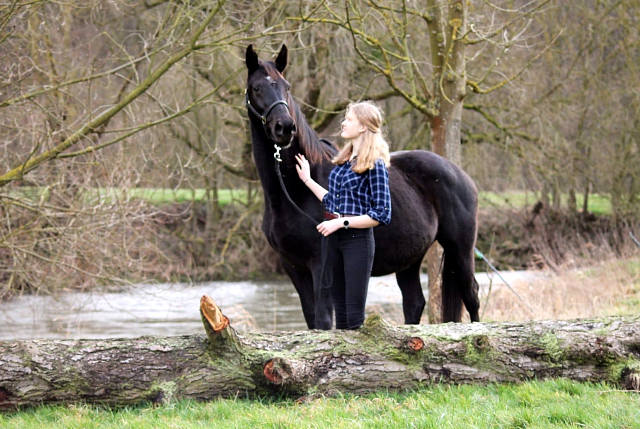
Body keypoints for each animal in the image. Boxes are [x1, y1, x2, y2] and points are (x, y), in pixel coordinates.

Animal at [245, 45, 480, 330]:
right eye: (256, 87)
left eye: (286, 87)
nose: (285, 127)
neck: (292, 194)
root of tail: (461, 175)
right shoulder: (293, 266)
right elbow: (312, 320)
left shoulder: (321, 264)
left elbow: (324, 321)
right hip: (410, 258)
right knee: (414, 302)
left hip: (460, 250)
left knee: (472, 296)